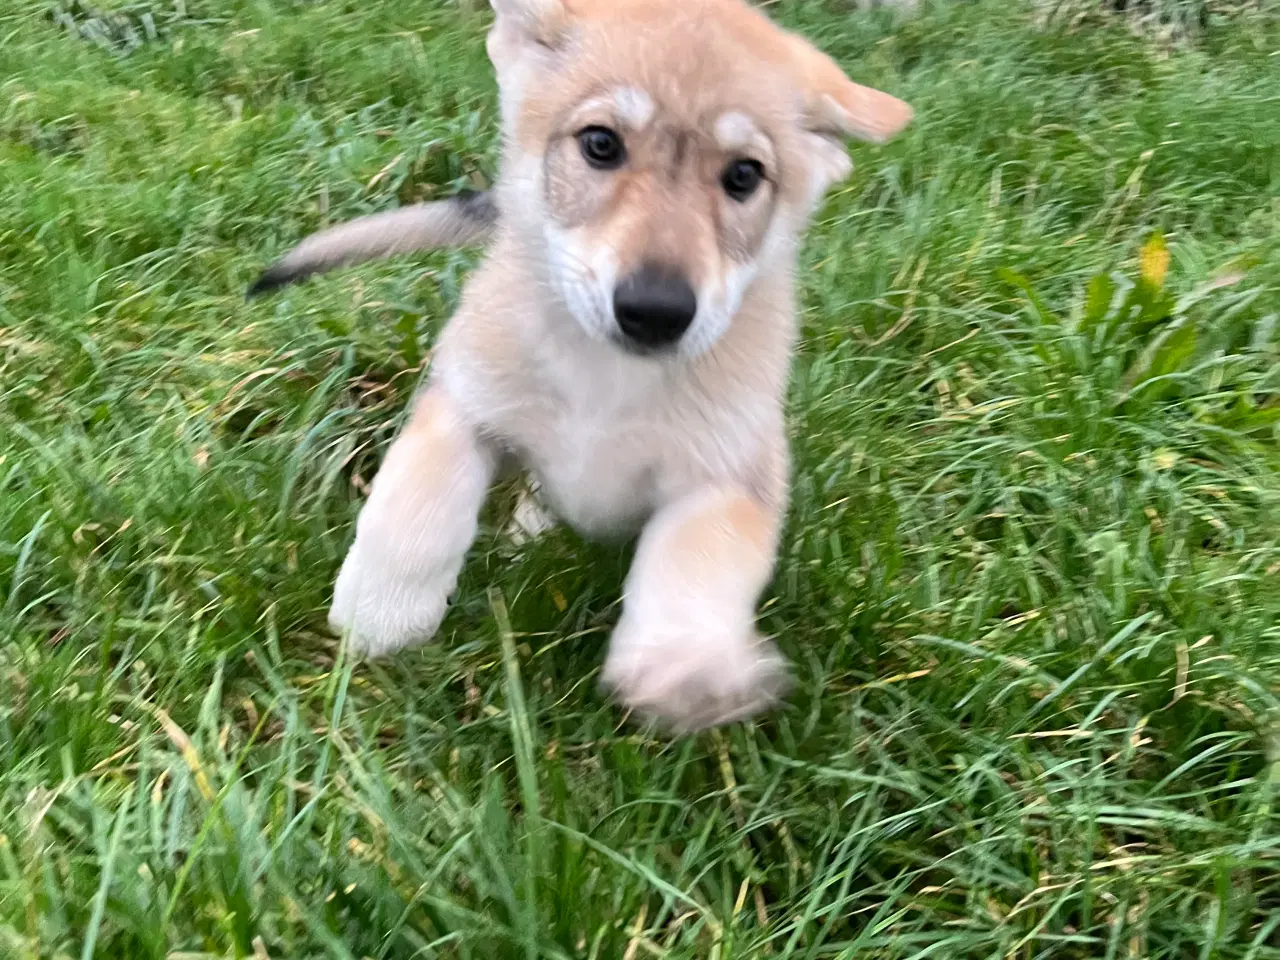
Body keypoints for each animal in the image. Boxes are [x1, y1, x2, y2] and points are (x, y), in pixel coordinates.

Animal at [252, 0, 911, 732]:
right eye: (600, 144)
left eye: (743, 176)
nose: (655, 310)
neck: (608, 377)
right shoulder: (464, 402)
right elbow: (414, 511)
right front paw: (379, 618)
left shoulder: (730, 473)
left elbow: (695, 564)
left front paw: (683, 665)